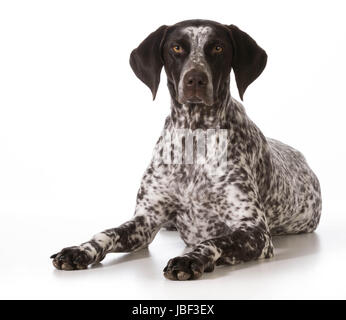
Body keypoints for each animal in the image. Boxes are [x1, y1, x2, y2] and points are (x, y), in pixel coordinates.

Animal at [51, 20, 322, 280]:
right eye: (177, 48)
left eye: (218, 47)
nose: (195, 79)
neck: (194, 136)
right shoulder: (145, 221)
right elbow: (106, 234)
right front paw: (79, 250)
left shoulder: (255, 232)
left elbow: (214, 241)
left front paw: (191, 259)